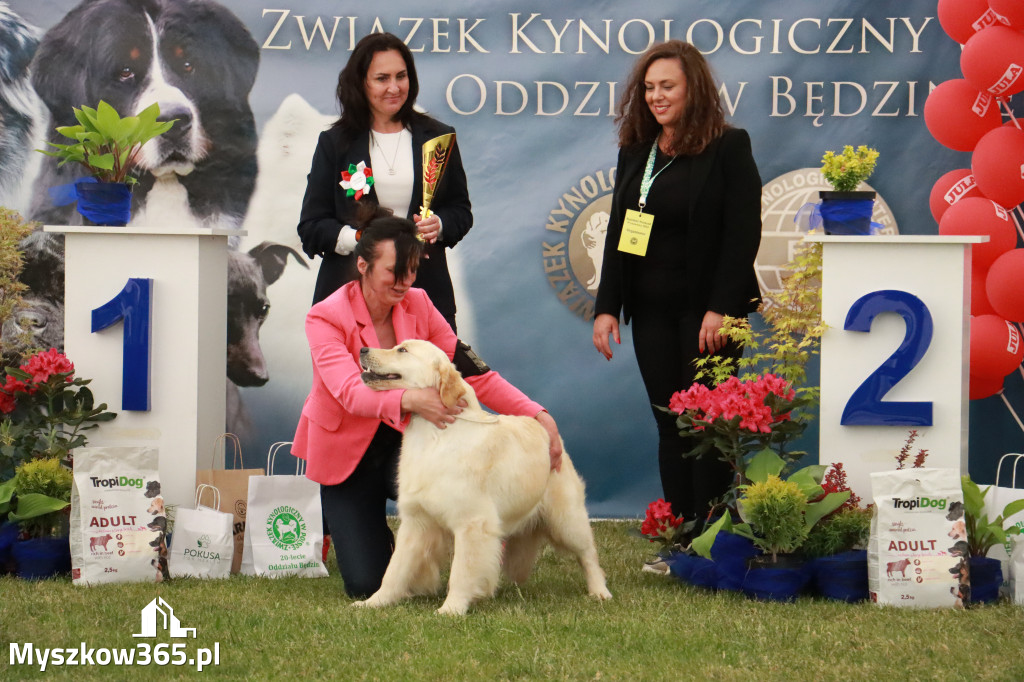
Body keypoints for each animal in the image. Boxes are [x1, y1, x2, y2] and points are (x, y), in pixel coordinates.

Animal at [354, 337, 606, 610]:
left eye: (403, 350)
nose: (362, 349)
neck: (434, 435)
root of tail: (550, 431)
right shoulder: (416, 521)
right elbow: (395, 569)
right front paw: (375, 602)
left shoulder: (472, 523)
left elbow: (461, 571)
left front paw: (452, 608)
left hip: (566, 520)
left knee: (588, 555)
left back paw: (600, 591)